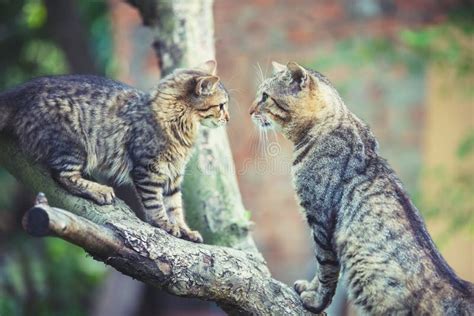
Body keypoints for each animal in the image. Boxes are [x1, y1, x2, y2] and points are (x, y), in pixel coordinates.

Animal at [0, 59, 230, 242]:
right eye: (221, 106)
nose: (228, 119)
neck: (181, 122)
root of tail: (19, 94)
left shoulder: (173, 174)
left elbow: (175, 207)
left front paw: (184, 230)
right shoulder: (148, 169)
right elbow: (156, 204)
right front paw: (165, 225)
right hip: (74, 144)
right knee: (63, 176)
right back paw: (99, 191)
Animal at [250, 61, 472, 314]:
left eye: (265, 96)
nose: (250, 110)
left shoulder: (322, 223)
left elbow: (326, 270)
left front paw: (316, 301)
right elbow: (321, 270)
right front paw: (309, 288)